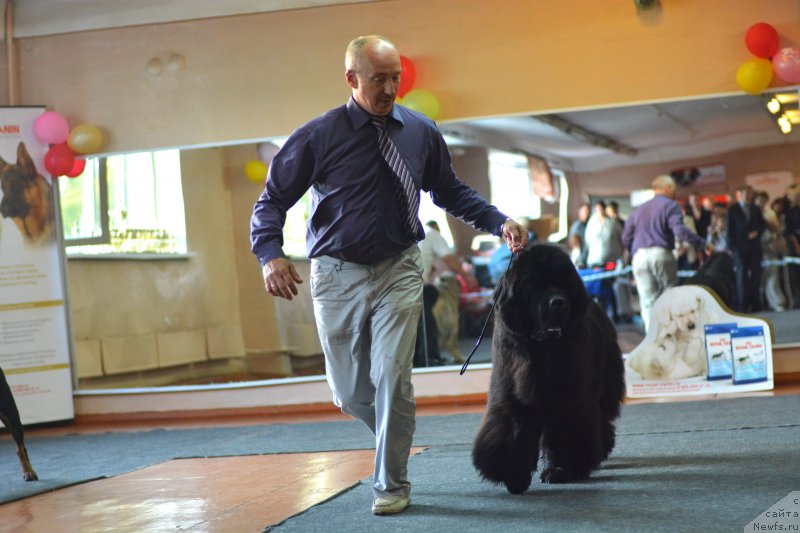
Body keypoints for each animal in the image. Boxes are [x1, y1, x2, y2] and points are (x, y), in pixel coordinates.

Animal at [472, 243, 628, 492]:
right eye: (535, 286)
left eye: (563, 284)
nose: (559, 302)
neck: (542, 351)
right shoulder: (513, 393)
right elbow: (514, 427)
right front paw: (514, 474)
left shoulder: (569, 397)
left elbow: (566, 430)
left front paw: (561, 470)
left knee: (602, 418)